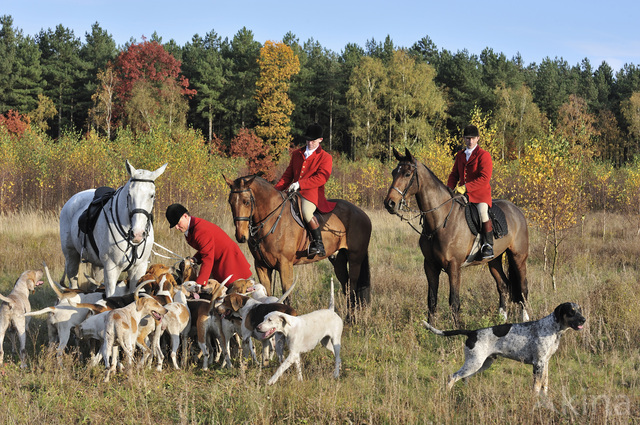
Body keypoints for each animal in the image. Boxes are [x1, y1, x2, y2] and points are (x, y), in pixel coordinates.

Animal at [228, 173, 372, 308]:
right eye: (230, 202)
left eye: (246, 201)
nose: (241, 236)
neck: (272, 220)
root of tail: (362, 213)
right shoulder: (261, 266)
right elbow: (267, 295)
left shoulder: (285, 265)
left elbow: (287, 297)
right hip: (338, 259)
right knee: (346, 286)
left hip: (355, 259)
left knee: (352, 288)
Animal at [382, 147, 528, 326]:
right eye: (393, 172)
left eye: (407, 174)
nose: (389, 203)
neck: (441, 220)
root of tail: (517, 210)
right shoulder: (430, 265)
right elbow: (432, 300)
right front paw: (430, 328)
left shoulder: (454, 266)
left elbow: (454, 301)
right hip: (494, 260)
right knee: (503, 286)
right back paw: (501, 319)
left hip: (518, 257)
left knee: (523, 288)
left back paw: (525, 319)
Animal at [422, 302, 588, 394]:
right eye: (572, 311)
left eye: (580, 309)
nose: (584, 319)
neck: (553, 329)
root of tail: (472, 332)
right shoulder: (538, 364)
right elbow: (536, 386)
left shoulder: (545, 363)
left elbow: (544, 385)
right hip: (474, 363)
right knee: (453, 376)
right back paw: (446, 394)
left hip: (483, 364)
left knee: (464, 378)